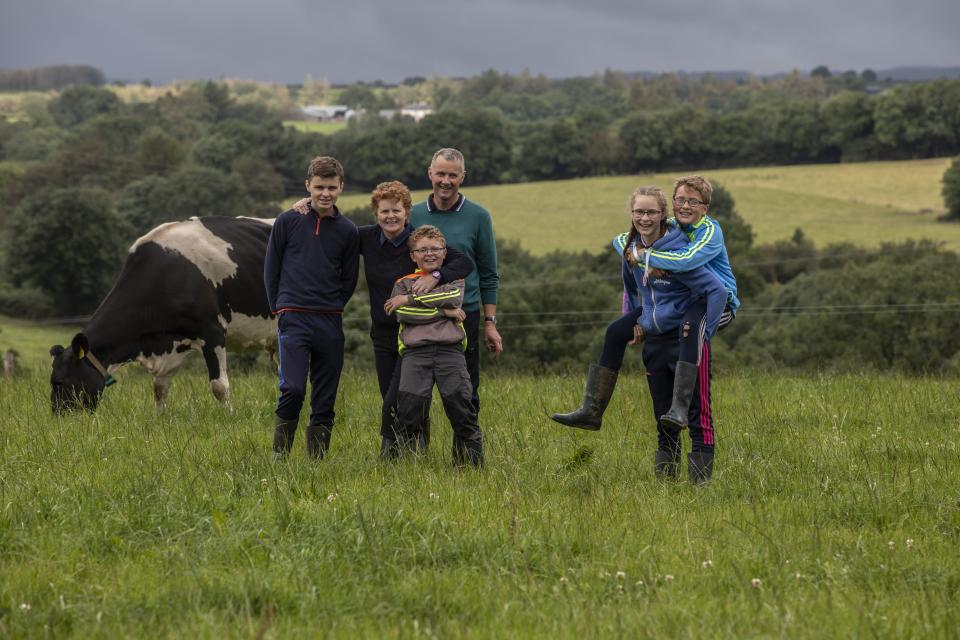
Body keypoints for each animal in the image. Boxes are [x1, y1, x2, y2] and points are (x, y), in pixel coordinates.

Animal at [49, 216, 278, 416]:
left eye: (59, 382)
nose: (60, 419)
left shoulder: (212, 331)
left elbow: (219, 386)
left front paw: (229, 415)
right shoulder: (174, 341)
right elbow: (160, 387)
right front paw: (160, 417)